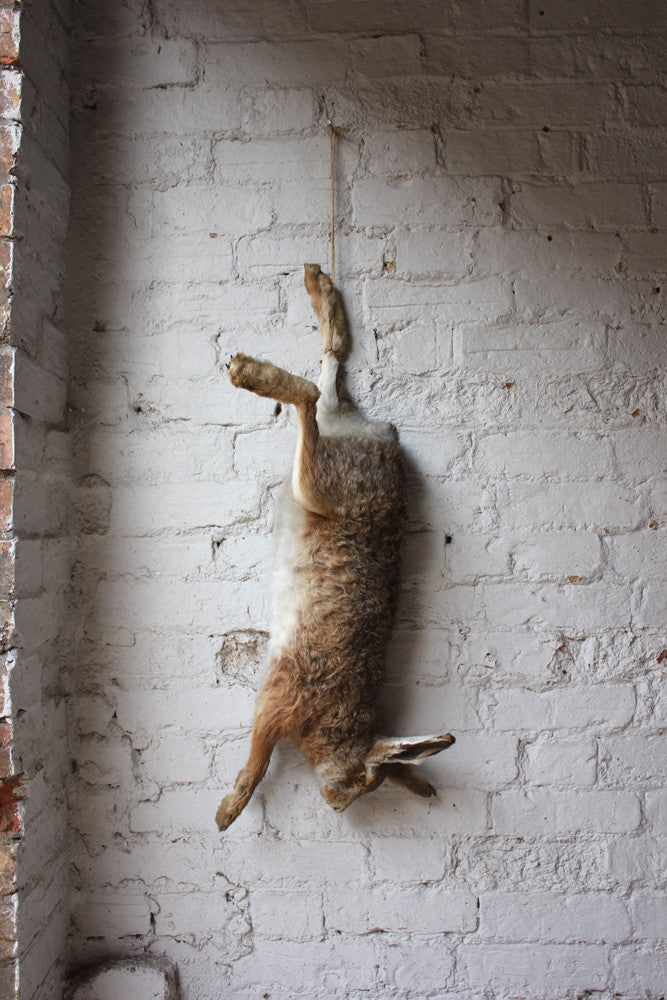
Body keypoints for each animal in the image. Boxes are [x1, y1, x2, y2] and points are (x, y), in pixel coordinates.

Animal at [216, 264, 454, 831]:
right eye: (362, 780)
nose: (337, 805)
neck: (338, 725)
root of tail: (383, 437)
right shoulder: (280, 698)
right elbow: (258, 761)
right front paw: (228, 812)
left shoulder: (278, 697)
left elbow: (259, 756)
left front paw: (227, 809)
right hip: (320, 485)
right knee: (308, 396)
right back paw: (251, 371)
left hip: (317, 472)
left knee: (326, 378)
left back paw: (317, 288)